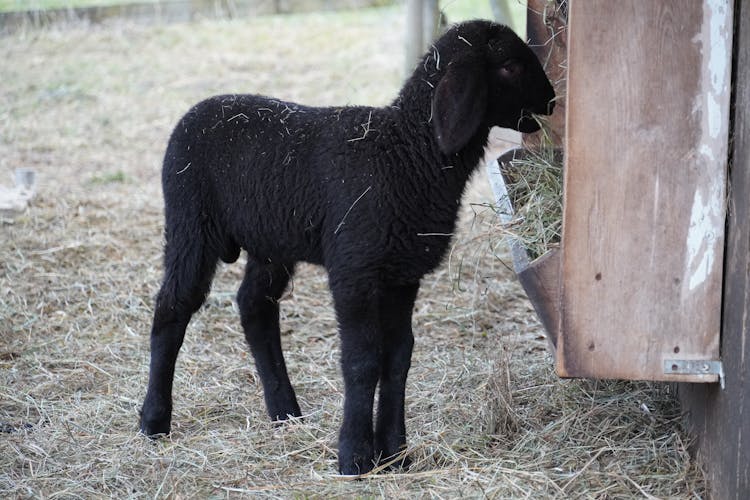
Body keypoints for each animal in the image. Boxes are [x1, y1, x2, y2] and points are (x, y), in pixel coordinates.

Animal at [141, 18, 556, 472]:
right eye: (510, 66)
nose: (552, 100)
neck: (408, 154)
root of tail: (195, 110)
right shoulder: (355, 269)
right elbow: (362, 360)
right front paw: (355, 456)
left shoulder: (401, 274)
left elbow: (398, 357)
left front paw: (394, 451)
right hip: (190, 223)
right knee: (172, 307)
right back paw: (154, 420)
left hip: (271, 239)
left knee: (254, 305)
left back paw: (285, 412)